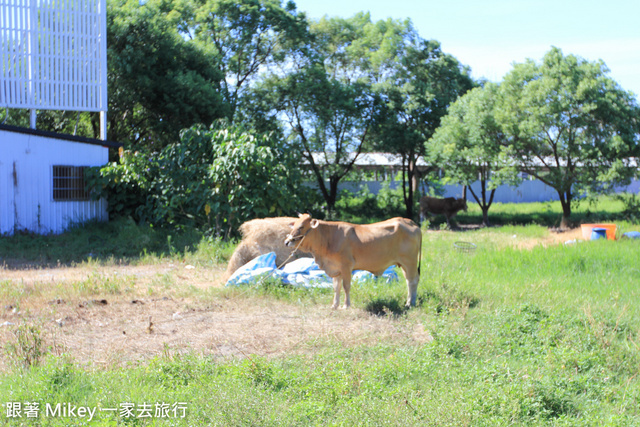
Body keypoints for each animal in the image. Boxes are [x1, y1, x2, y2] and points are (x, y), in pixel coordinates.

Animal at [282, 216, 422, 310]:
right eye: (294, 225)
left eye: (301, 227)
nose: (286, 242)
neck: (329, 237)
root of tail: (409, 221)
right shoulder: (336, 268)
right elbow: (336, 287)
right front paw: (334, 305)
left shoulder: (346, 266)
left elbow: (346, 286)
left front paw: (346, 305)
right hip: (404, 264)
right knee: (409, 281)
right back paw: (410, 301)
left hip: (410, 261)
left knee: (412, 281)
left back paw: (410, 303)